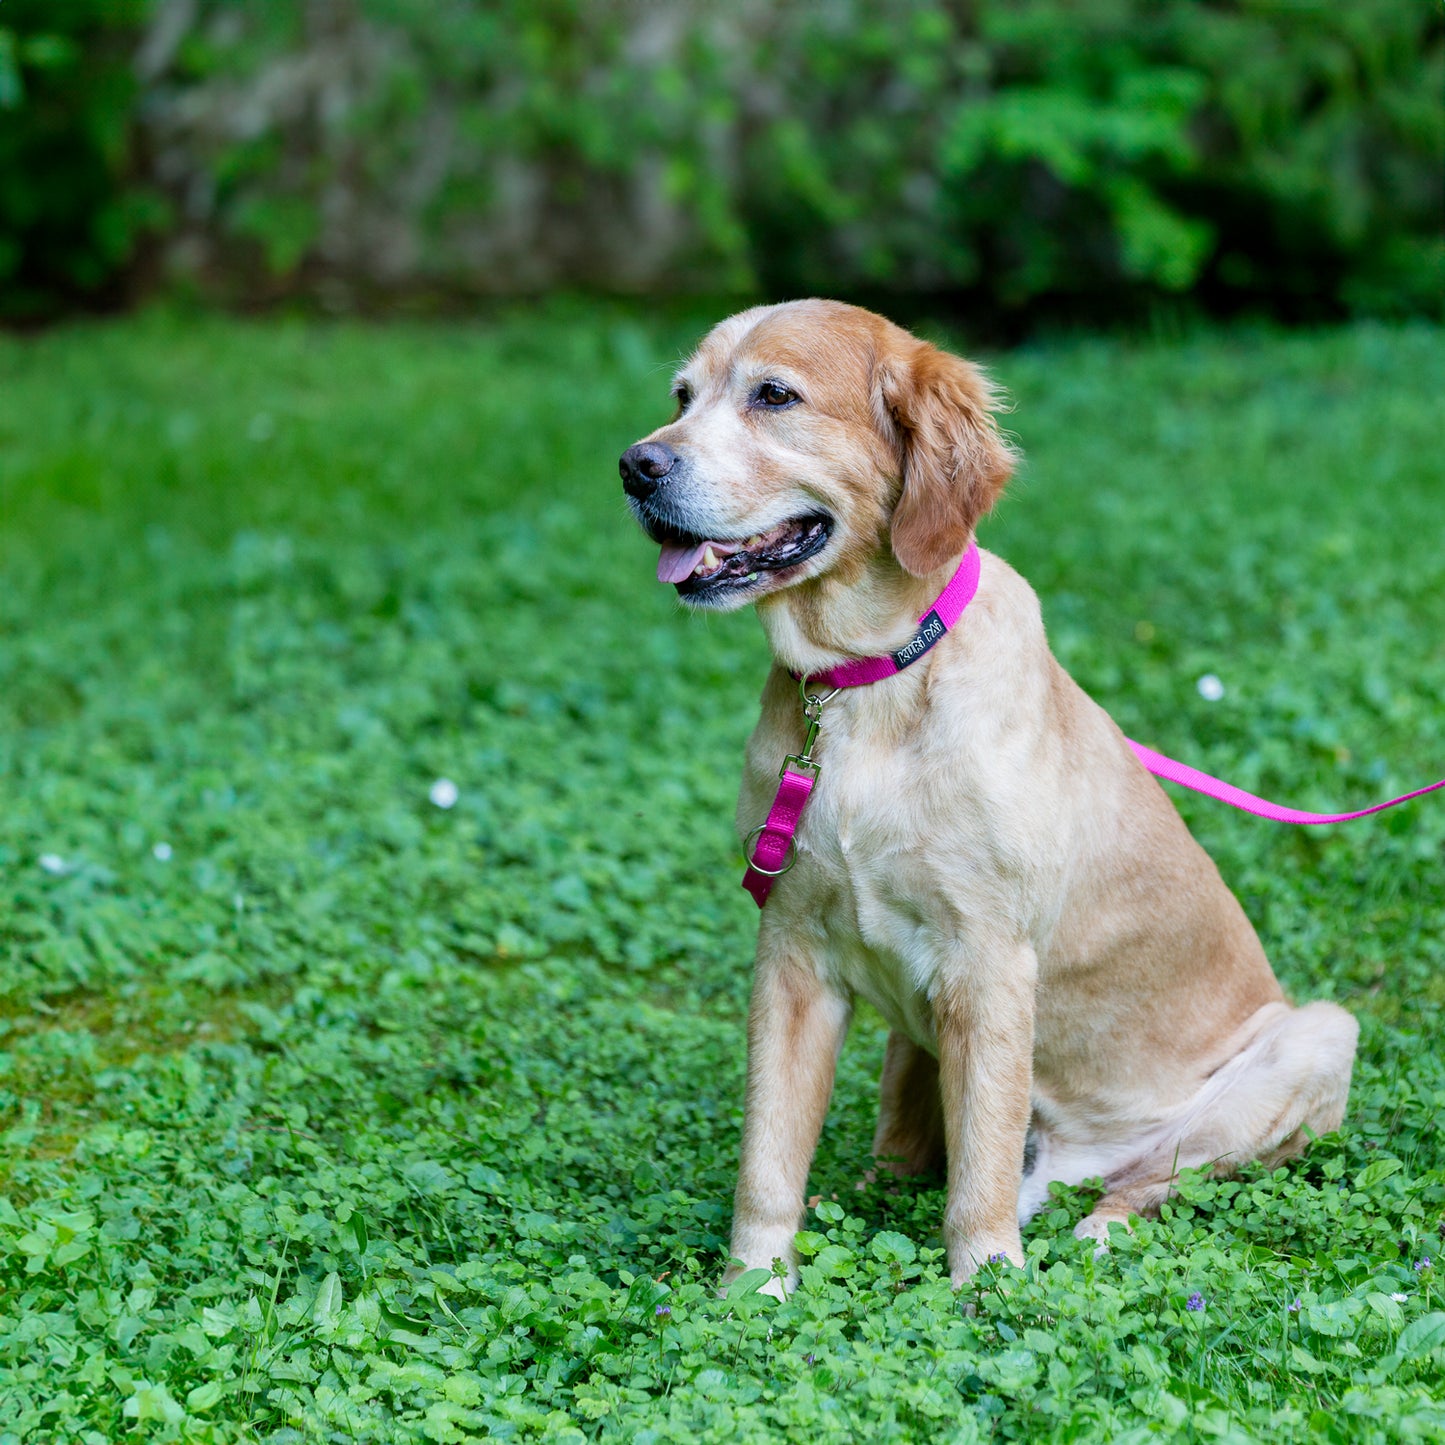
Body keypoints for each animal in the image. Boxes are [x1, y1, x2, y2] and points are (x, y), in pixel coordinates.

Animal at [618, 299, 1352, 1294]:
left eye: (774, 395)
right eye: (681, 396)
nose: (635, 466)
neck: (866, 685)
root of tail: (1071, 1161)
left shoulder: (991, 963)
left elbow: (980, 1171)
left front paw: (986, 1286)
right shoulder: (791, 954)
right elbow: (766, 1157)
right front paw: (750, 1288)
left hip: (1315, 1037)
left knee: (1141, 1186)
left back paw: (1094, 1234)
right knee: (904, 1145)